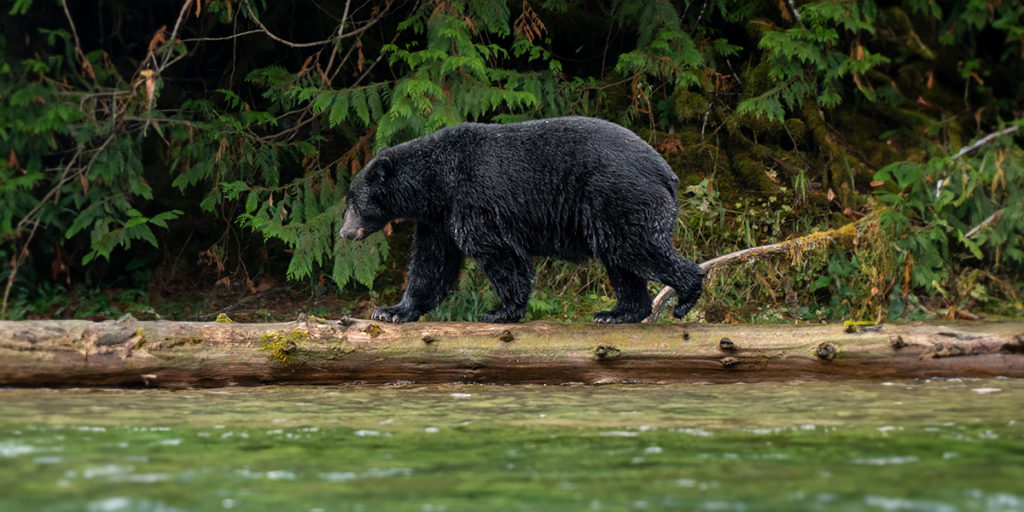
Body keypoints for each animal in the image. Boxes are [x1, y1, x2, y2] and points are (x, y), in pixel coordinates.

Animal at [337, 117, 704, 321]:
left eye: (355, 201)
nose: (344, 232)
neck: (436, 181)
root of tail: (666, 174)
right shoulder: (437, 217)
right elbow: (432, 262)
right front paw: (392, 311)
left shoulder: (473, 198)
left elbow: (498, 252)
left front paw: (501, 310)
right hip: (613, 207)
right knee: (620, 260)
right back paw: (618, 313)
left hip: (617, 195)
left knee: (637, 247)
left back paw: (687, 293)